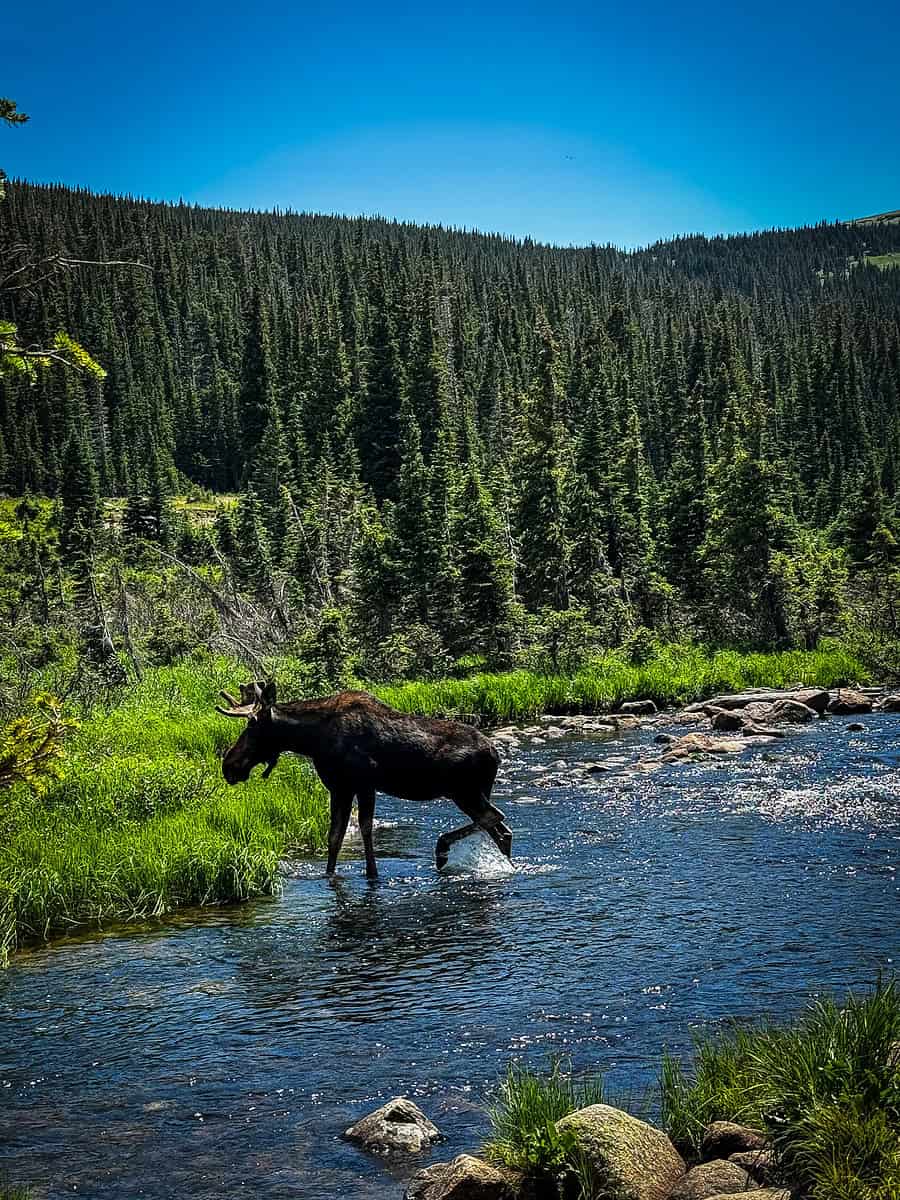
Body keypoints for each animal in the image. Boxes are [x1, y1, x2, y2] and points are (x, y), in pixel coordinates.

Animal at [216, 681, 513, 878]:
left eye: (252, 725)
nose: (229, 766)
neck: (311, 740)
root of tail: (495, 753)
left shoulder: (362, 785)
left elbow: (364, 829)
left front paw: (372, 872)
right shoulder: (339, 788)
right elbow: (334, 837)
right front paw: (330, 874)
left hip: (464, 791)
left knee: (495, 817)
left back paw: (442, 851)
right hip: (474, 792)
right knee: (502, 831)